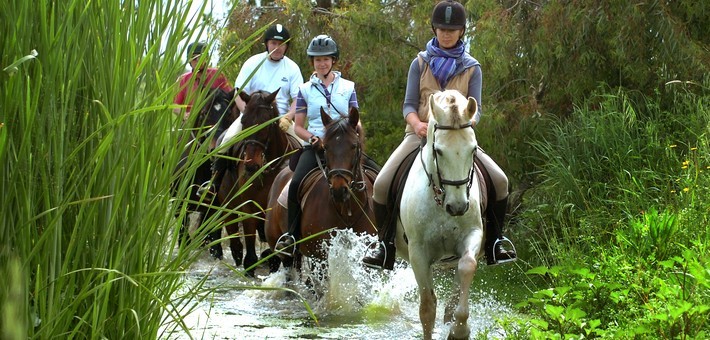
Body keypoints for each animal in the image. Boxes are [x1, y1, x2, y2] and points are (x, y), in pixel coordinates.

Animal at [213, 88, 298, 276]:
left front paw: (270, 260)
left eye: (266, 123)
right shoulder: (248, 205)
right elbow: (249, 234)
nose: (251, 165)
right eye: (244, 121)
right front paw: (250, 264)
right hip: (227, 203)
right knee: (234, 237)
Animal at [266, 107, 378, 272]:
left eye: (353, 146)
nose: (339, 190)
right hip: (280, 249)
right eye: (326, 147)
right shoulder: (318, 256)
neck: (347, 210)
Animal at [398, 89, 486, 338]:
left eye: (473, 149)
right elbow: (427, 308)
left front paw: (460, 330)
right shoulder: (418, 253)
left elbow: (467, 266)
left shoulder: (473, 235)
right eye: (438, 151)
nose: (457, 207)